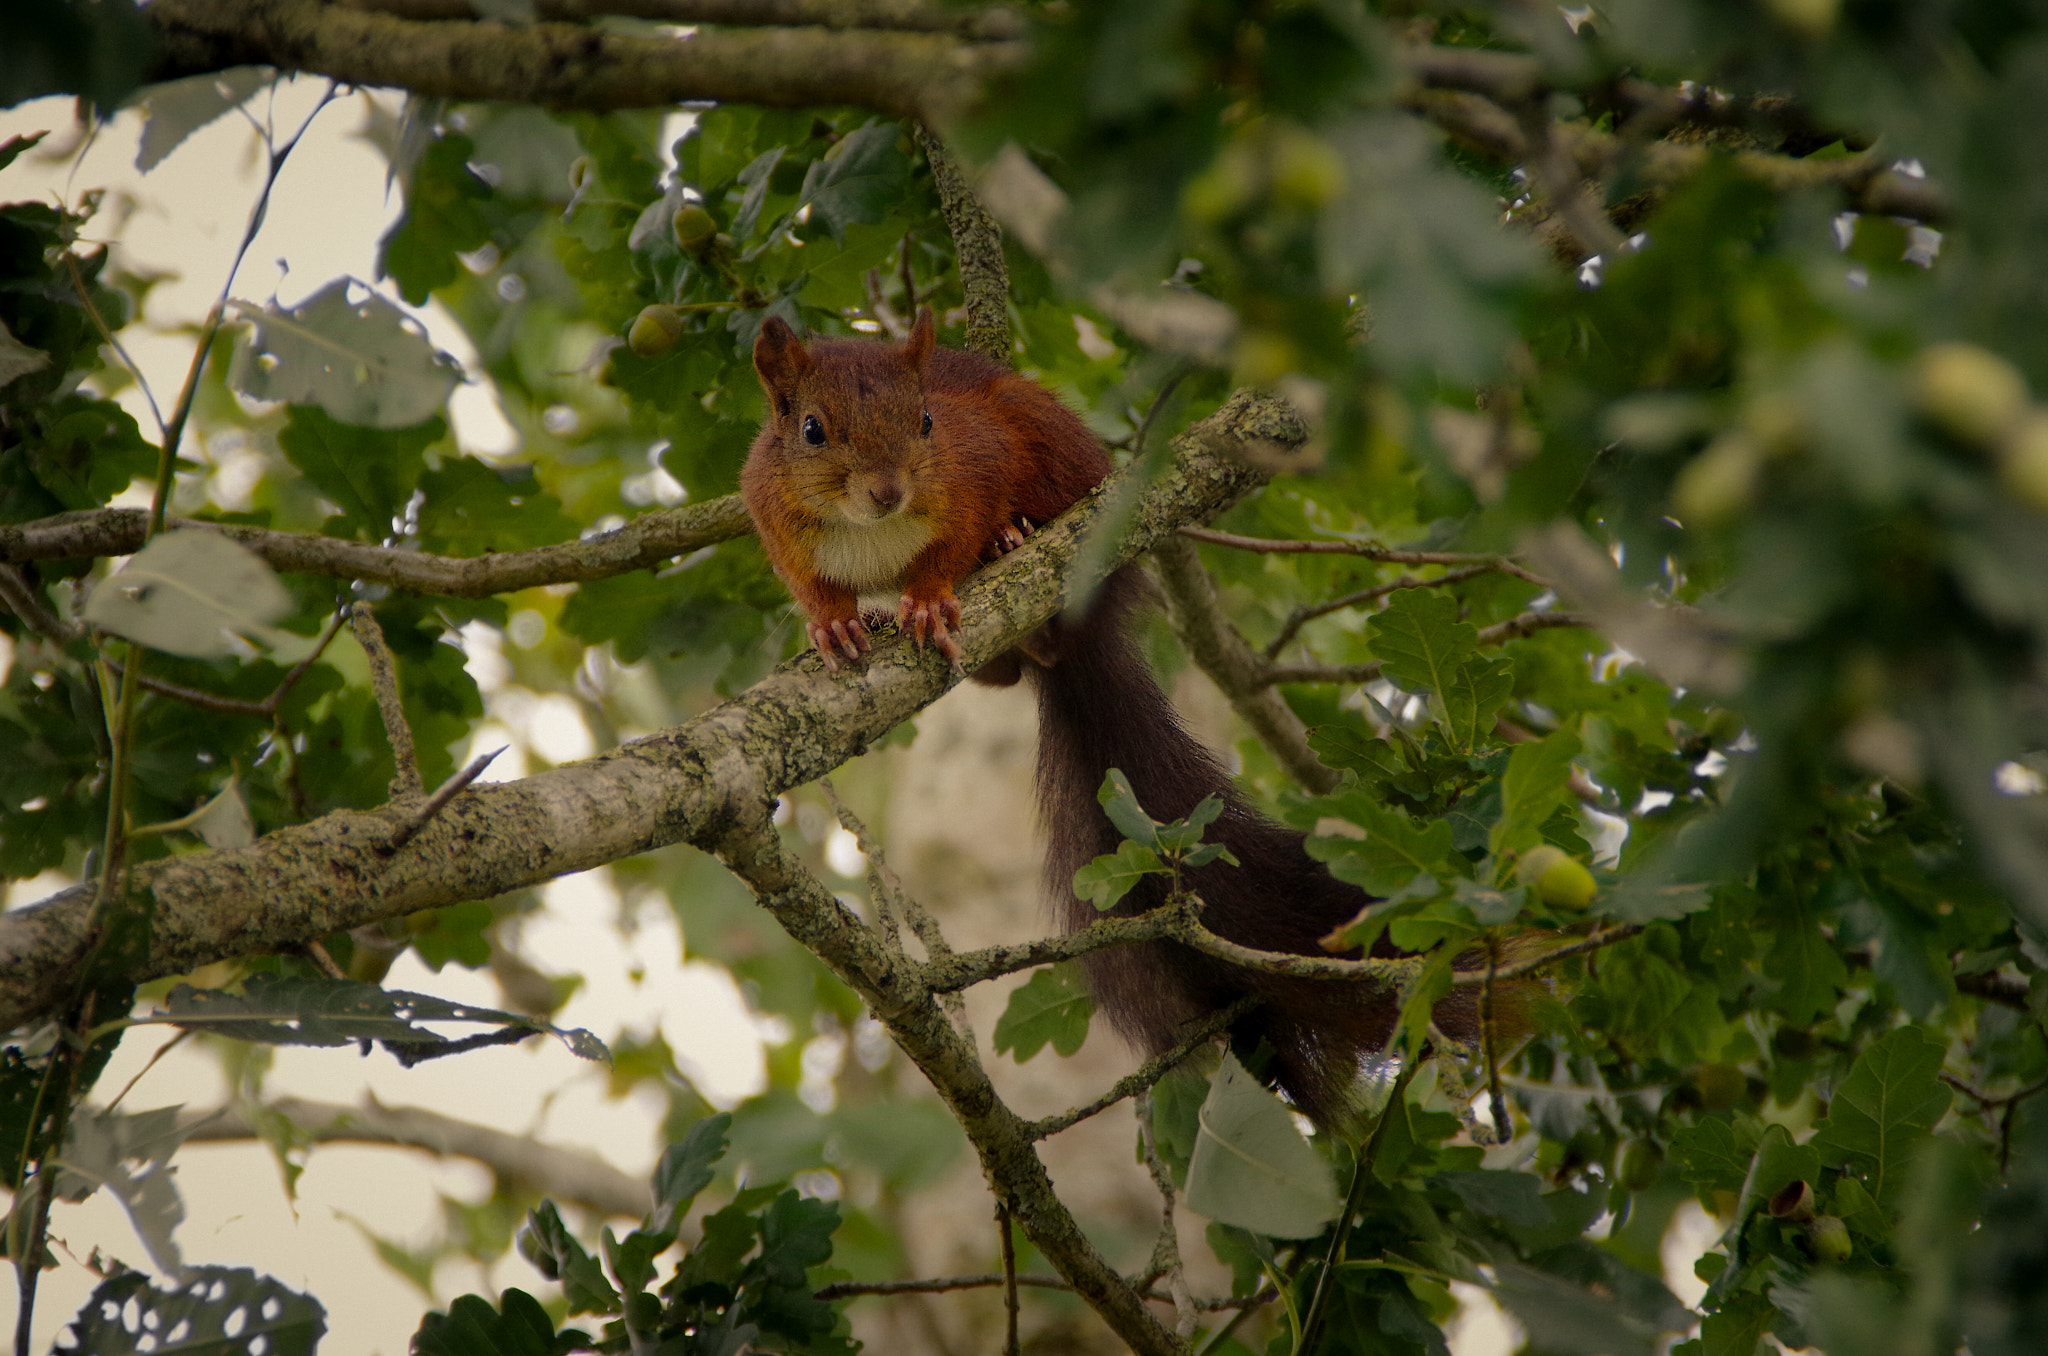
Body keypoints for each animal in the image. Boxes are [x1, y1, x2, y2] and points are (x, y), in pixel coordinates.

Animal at [745, 307, 1482, 1122]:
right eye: (812, 430)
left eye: (928, 420)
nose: (886, 490)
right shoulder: (773, 513)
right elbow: (811, 583)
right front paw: (832, 624)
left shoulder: (977, 463)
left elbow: (956, 536)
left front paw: (935, 594)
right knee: (1004, 673)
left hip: (1054, 454)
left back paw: (1013, 542)